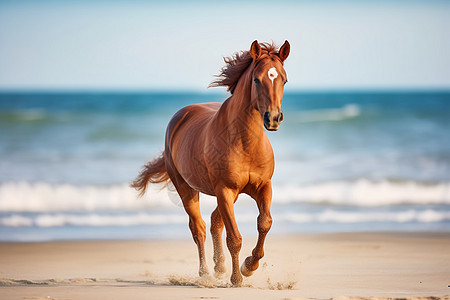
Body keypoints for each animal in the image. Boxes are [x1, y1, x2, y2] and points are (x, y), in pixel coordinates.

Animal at [132, 39, 290, 286]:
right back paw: (206, 273)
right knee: (199, 228)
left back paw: (220, 267)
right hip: (188, 189)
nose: (273, 119)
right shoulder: (225, 189)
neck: (244, 143)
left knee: (215, 221)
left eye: (283, 79)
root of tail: (181, 116)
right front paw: (238, 277)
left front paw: (249, 266)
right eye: (257, 79)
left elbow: (264, 223)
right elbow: (234, 237)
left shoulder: (263, 187)